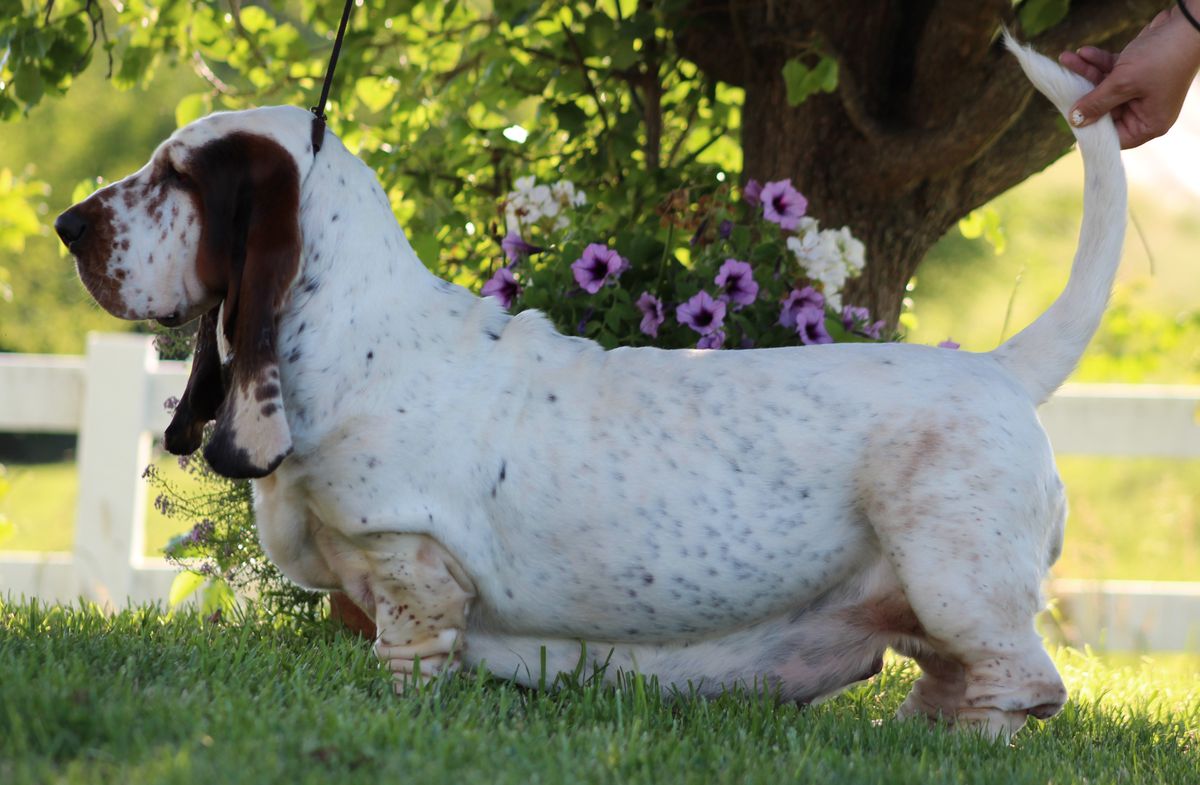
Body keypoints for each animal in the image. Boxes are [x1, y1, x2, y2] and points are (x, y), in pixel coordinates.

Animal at [56, 35, 1123, 739]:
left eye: (177, 176)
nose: (68, 225)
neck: (356, 334)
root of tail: (995, 366)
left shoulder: (409, 560)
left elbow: (408, 651)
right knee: (960, 681)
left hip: (955, 576)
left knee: (1023, 683)